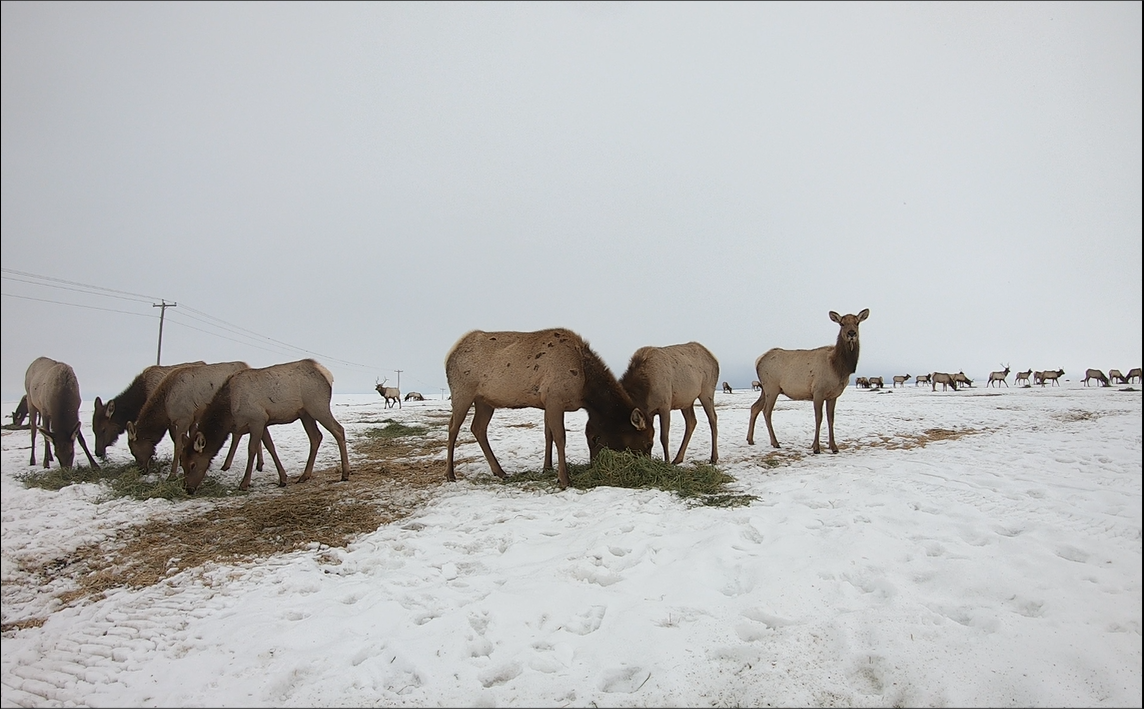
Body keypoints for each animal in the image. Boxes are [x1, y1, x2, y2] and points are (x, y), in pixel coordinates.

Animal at [126, 359, 260, 482]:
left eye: (133, 451)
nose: (142, 470)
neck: (166, 407)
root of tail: (246, 365)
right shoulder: (191, 419)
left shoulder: (184, 419)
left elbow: (178, 446)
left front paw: (172, 475)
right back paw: (254, 464)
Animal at [177, 359, 347, 494]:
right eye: (182, 463)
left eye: (193, 465)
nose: (187, 488)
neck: (229, 412)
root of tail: (327, 374)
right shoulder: (264, 422)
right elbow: (270, 447)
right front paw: (283, 479)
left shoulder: (257, 419)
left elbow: (251, 449)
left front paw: (244, 483)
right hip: (305, 414)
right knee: (316, 437)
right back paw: (304, 475)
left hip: (318, 406)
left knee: (338, 430)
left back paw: (345, 473)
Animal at [441, 329, 649, 489]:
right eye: (648, 442)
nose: (647, 463)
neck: (584, 385)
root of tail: (449, 355)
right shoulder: (555, 398)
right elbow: (560, 437)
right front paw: (564, 479)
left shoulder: (548, 402)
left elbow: (548, 435)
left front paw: (547, 468)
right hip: (462, 392)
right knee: (453, 428)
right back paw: (450, 474)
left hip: (485, 401)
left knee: (478, 428)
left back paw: (500, 471)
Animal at [745, 308, 869, 455]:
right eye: (842, 323)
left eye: (857, 323)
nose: (851, 333)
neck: (839, 368)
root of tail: (758, 360)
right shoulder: (818, 391)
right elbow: (818, 418)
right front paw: (816, 447)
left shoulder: (833, 395)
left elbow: (831, 419)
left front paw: (834, 447)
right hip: (771, 387)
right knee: (766, 411)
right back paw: (775, 442)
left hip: (764, 389)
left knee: (754, 407)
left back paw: (750, 439)